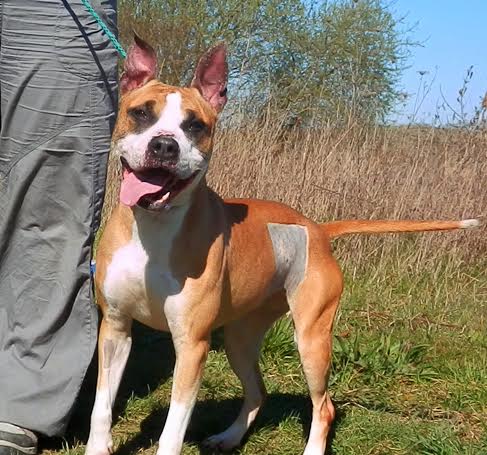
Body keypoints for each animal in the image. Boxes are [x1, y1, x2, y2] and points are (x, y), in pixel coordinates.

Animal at [85, 37, 479, 455]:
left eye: (194, 125)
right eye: (141, 113)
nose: (164, 146)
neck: (154, 227)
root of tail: (318, 229)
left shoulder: (192, 345)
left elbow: (172, 429)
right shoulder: (115, 329)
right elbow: (101, 407)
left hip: (311, 339)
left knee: (324, 406)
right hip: (241, 338)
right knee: (258, 391)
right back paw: (228, 437)